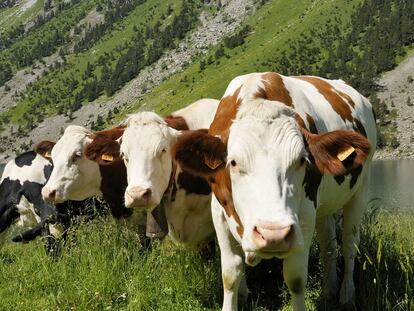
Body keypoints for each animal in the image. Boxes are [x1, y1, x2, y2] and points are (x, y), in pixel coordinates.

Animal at [173, 72, 376, 310]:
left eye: (302, 160)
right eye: (233, 162)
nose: (274, 234)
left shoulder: (305, 214)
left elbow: (296, 278)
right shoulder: (219, 211)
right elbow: (230, 274)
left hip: (362, 186)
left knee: (349, 242)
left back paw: (346, 294)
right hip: (325, 205)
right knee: (329, 241)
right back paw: (329, 290)